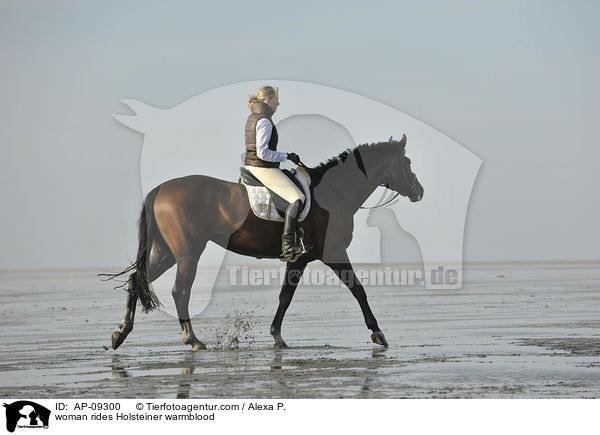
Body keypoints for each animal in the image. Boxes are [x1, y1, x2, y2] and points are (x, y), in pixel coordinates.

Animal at [105, 135, 424, 352]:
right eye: (407, 163)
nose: (419, 191)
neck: (334, 192)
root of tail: (160, 190)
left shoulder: (300, 259)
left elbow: (285, 297)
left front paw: (277, 336)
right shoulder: (333, 252)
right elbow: (358, 289)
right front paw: (378, 333)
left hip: (166, 252)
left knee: (137, 280)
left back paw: (121, 333)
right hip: (188, 252)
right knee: (180, 291)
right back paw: (192, 339)